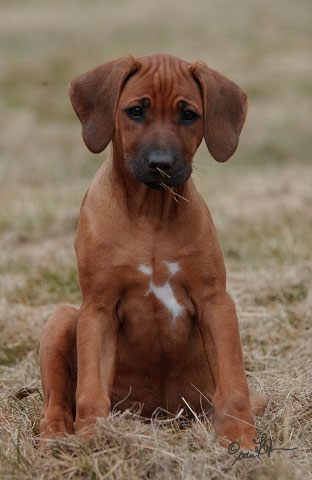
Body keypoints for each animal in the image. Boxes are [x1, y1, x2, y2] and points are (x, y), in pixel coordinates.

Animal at [40, 53, 266, 450]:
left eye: (189, 114)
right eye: (135, 111)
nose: (161, 164)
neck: (151, 214)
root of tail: (160, 418)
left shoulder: (215, 301)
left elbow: (234, 385)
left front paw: (240, 440)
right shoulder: (97, 308)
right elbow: (90, 391)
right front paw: (95, 440)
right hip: (63, 318)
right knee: (56, 397)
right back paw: (55, 435)